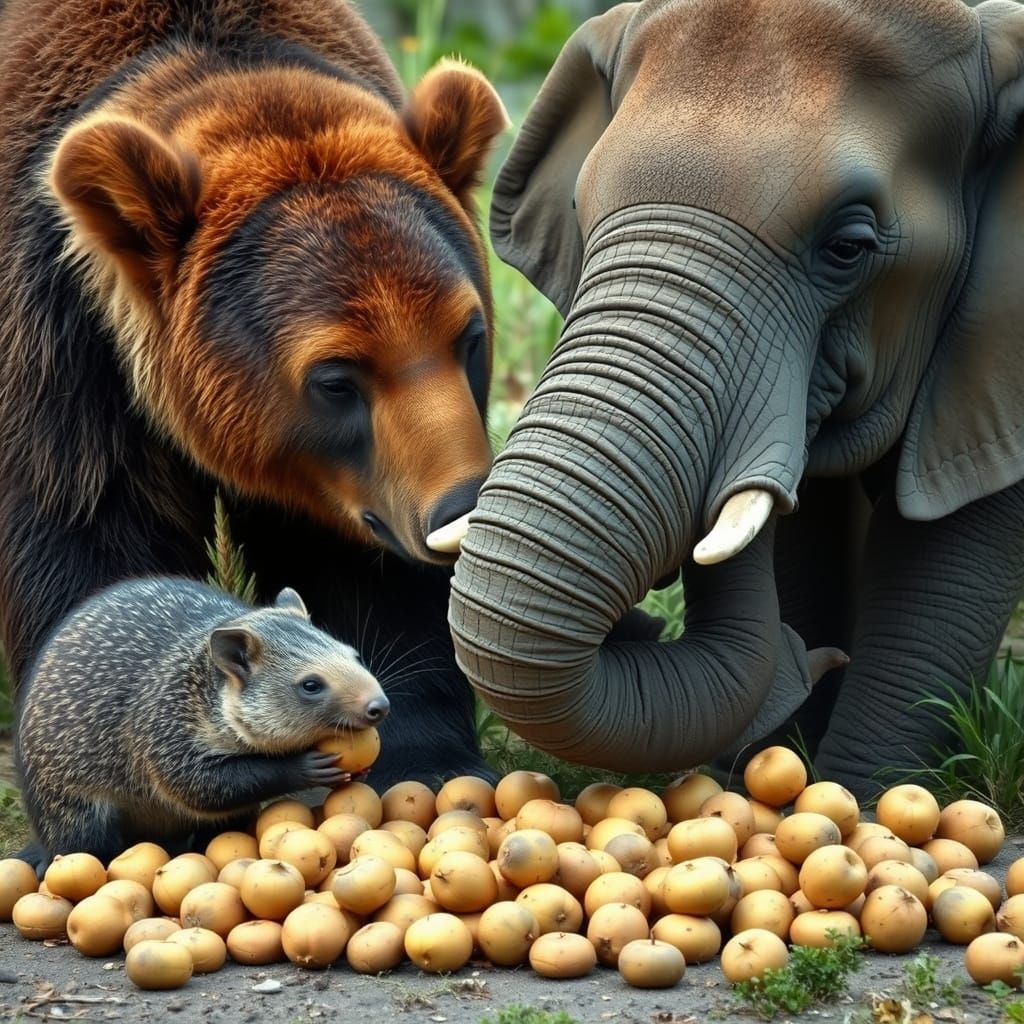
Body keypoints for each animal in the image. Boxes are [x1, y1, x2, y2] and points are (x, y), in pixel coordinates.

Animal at [0, 0, 508, 792]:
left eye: (469, 335)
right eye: (335, 378)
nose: (459, 503)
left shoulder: (366, 488)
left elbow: (376, 584)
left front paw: (426, 757)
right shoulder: (66, 369)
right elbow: (86, 544)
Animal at [446, 0, 1024, 799]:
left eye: (847, 247)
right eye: (581, 214)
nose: (804, 658)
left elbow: (940, 580)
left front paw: (862, 796)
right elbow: (807, 544)